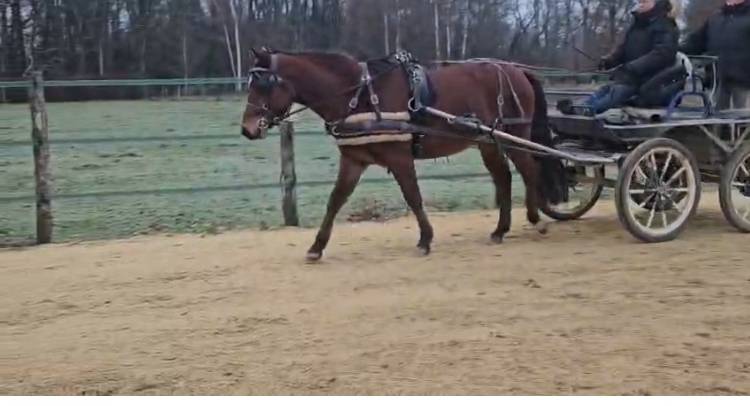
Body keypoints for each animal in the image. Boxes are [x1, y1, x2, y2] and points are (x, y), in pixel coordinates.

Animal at [241, 48, 566, 261]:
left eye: (263, 84)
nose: (247, 129)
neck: (360, 96)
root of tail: (515, 70)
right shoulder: (354, 160)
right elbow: (335, 200)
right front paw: (316, 247)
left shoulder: (399, 158)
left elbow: (413, 196)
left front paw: (425, 239)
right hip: (488, 140)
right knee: (504, 177)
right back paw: (501, 229)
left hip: (513, 134)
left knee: (528, 170)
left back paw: (536, 219)